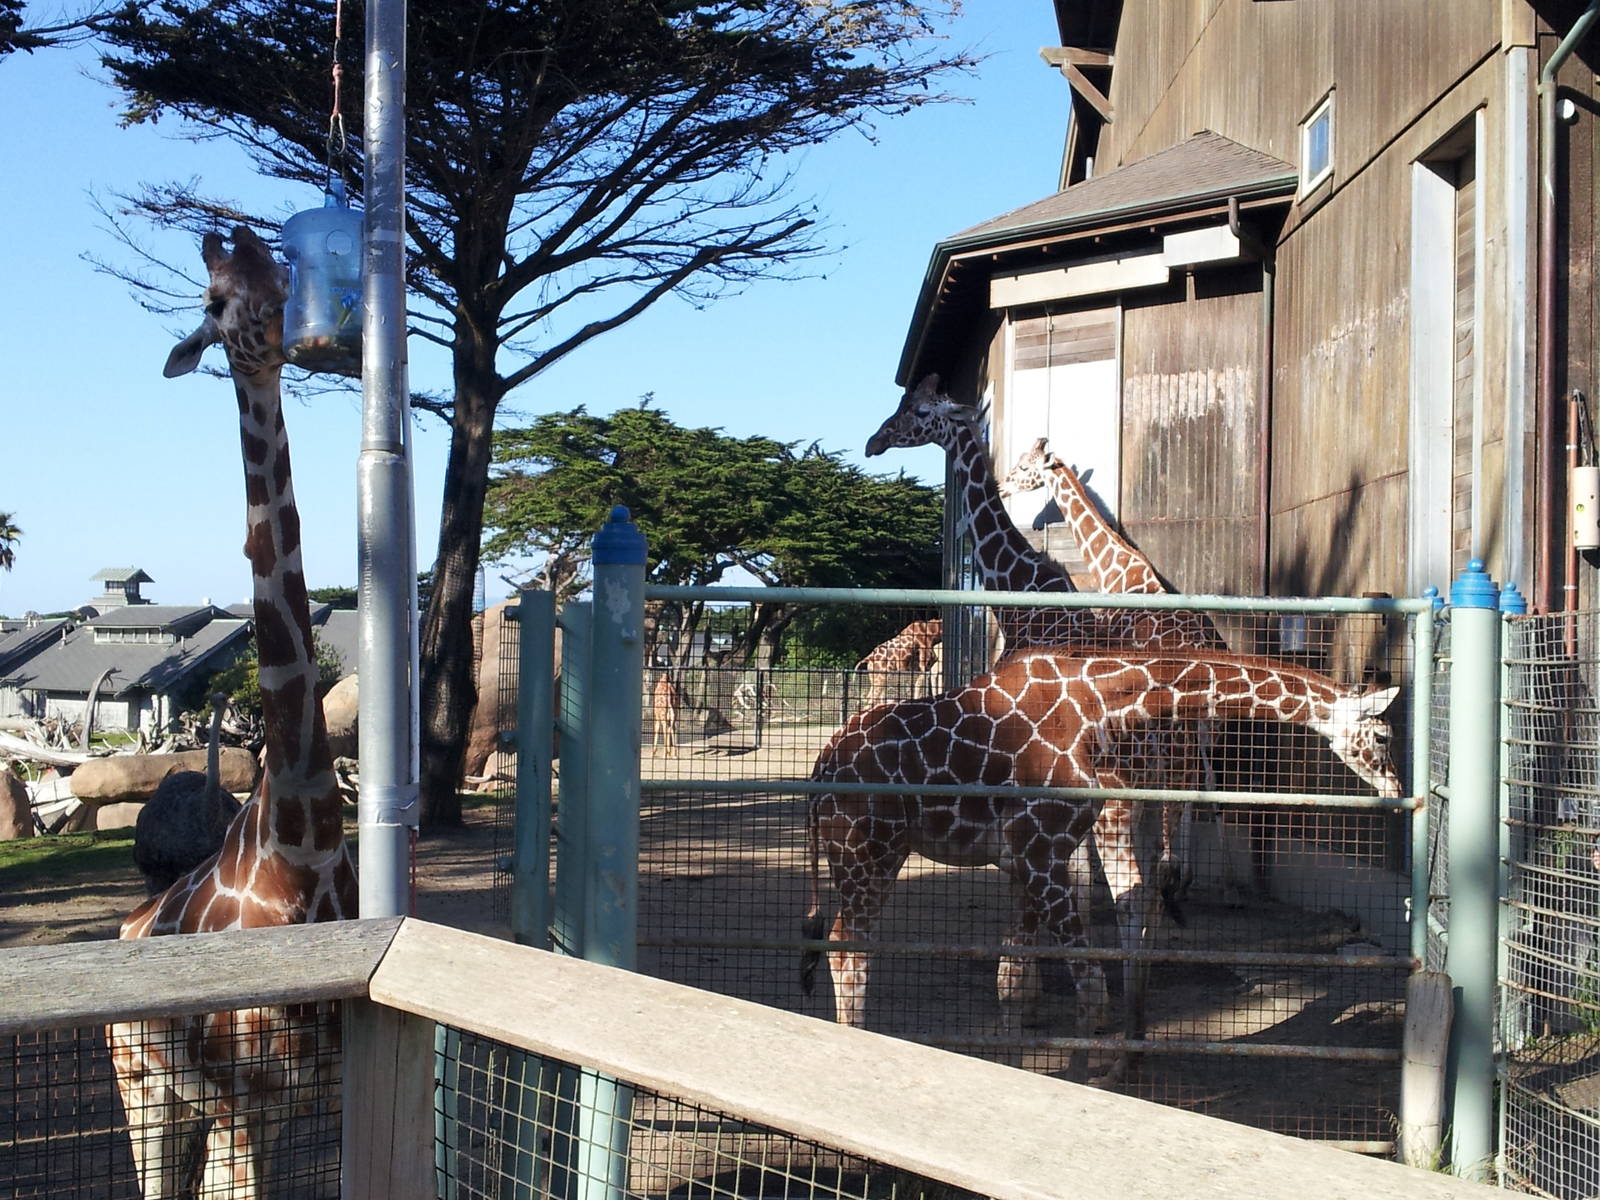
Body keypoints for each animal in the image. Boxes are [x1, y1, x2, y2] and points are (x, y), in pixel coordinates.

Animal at [109, 226, 357, 1199]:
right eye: (214, 303)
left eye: (284, 277)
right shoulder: (249, 1106)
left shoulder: (320, 1094)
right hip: (143, 1094)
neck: (305, 851)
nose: (303, 339)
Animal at [800, 647, 1402, 1054]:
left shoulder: (1029, 858)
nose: (1397, 790)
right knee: (847, 946)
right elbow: (1091, 989)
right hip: (865, 851)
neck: (1094, 707)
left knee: (847, 944)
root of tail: (821, 768)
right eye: (1385, 737)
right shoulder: (1041, 853)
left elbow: (1014, 974)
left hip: (878, 854)